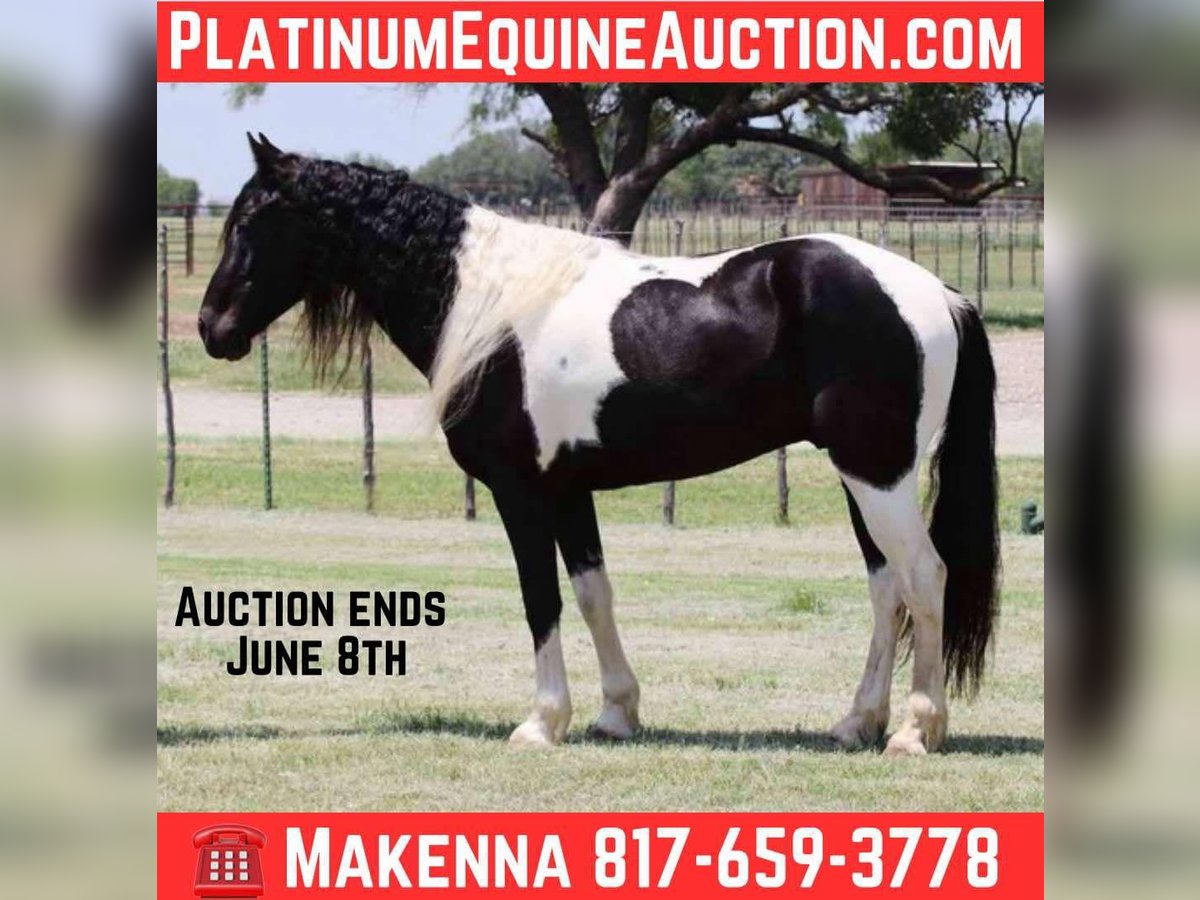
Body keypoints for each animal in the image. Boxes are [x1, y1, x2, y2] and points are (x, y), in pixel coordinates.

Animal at [200, 134, 999, 756]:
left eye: (251, 220)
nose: (212, 327)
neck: (489, 307)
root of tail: (942, 294)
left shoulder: (520, 491)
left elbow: (541, 600)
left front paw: (542, 723)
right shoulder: (568, 490)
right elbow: (593, 594)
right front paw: (617, 712)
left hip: (878, 474)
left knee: (923, 576)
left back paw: (914, 732)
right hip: (861, 477)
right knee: (887, 587)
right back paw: (856, 722)